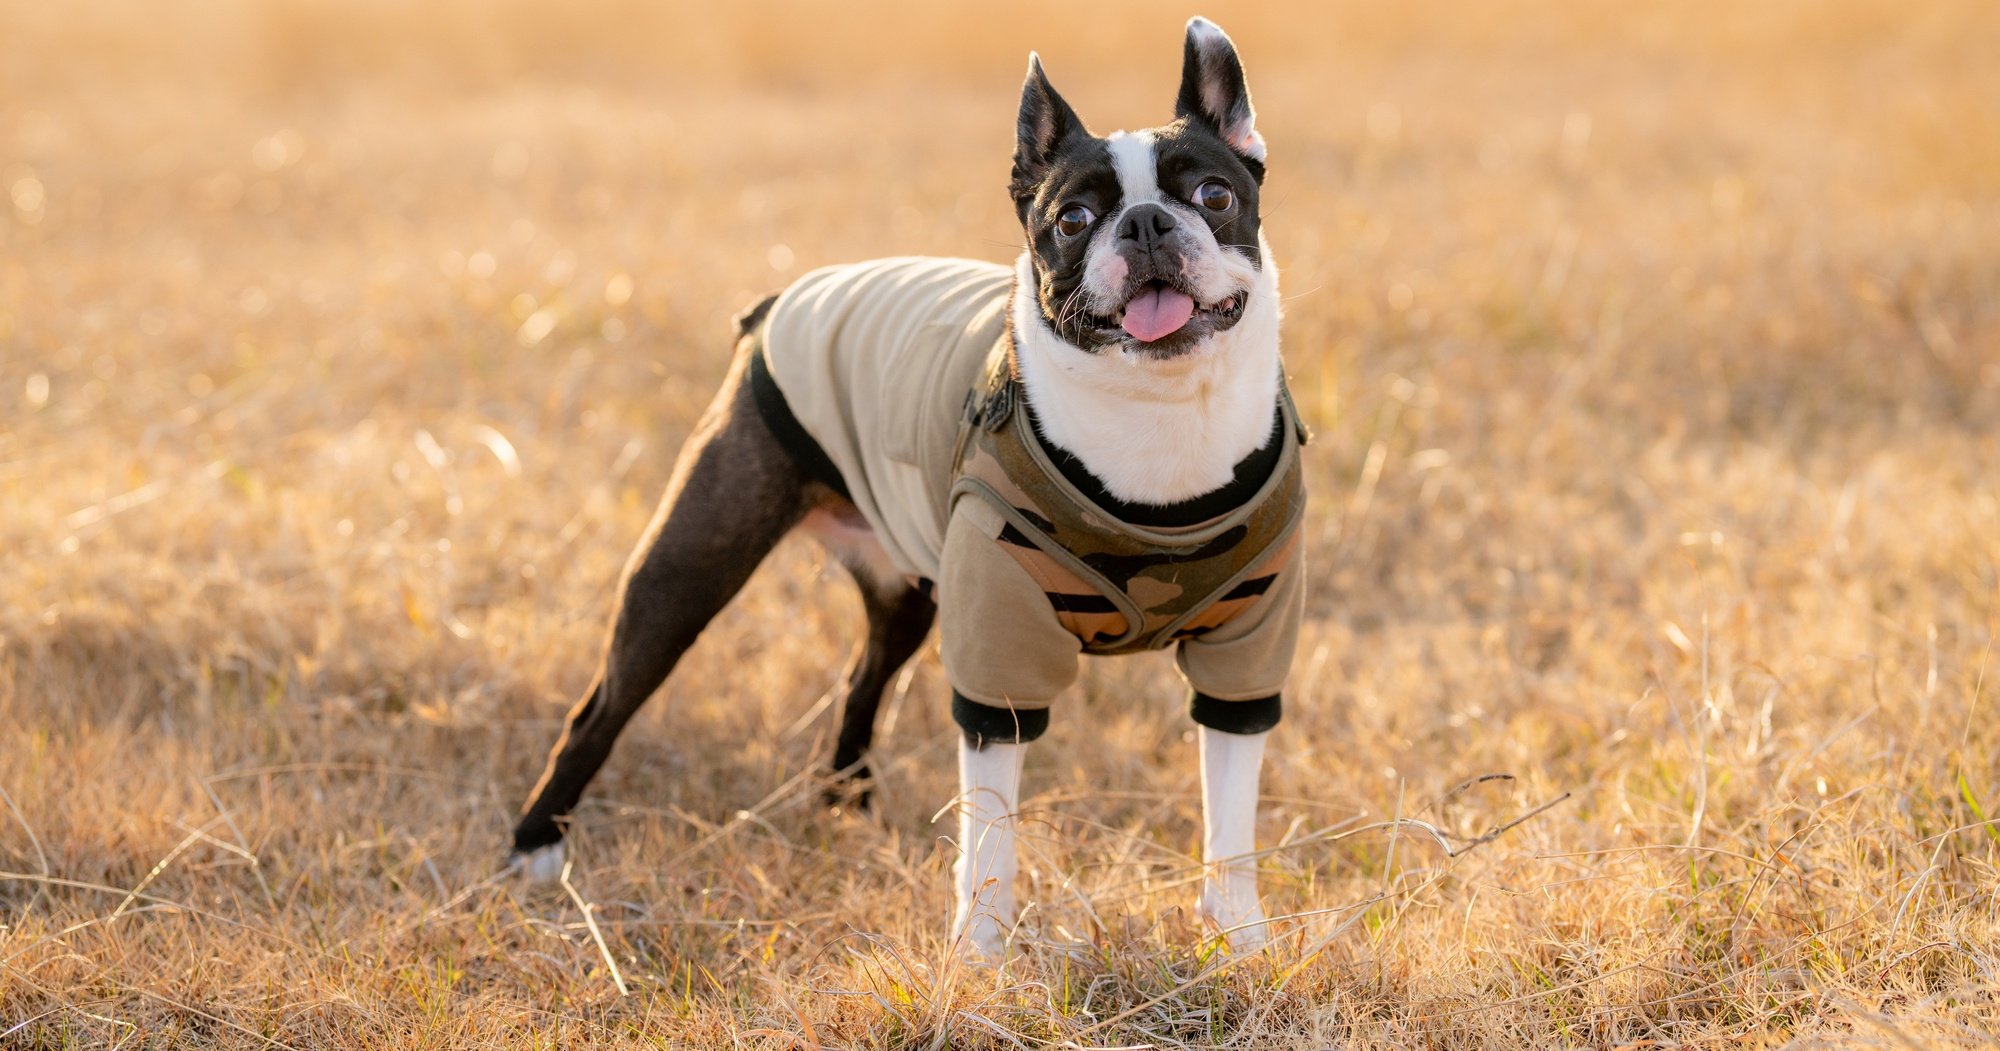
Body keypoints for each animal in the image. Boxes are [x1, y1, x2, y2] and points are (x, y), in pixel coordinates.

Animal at [508, 16, 1304, 959]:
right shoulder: (998, 658)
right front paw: (983, 952)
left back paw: (846, 807)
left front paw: (1241, 940)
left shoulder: (1244, 654)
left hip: (906, 590)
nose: (1146, 223)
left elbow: (1231, 817)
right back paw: (536, 846)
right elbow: (990, 832)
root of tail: (784, 296)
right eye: (1072, 219)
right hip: (689, 567)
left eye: (1214, 197)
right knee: (600, 706)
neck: (1161, 416)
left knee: (862, 679)